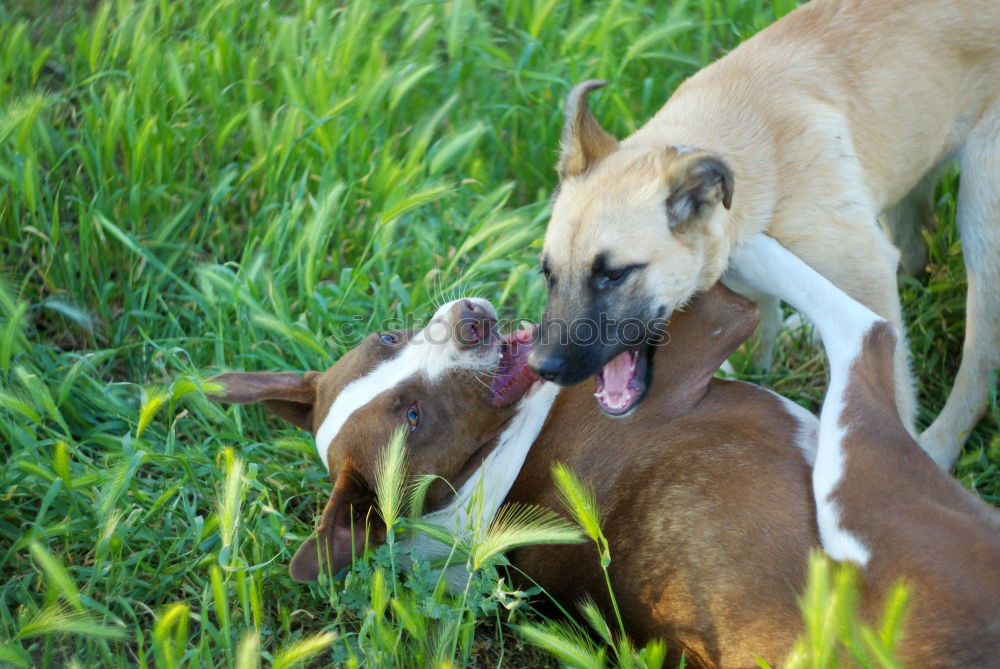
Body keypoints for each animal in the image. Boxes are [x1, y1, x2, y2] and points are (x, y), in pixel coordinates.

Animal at [528, 0, 996, 470]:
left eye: (614, 274)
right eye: (548, 273)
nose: (538, 366)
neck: (753, 157)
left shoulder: (865, 275)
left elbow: (888, 389)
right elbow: (761, 339)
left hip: (980, 215)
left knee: (978, 362)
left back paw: (939, 447)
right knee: (916, 256)